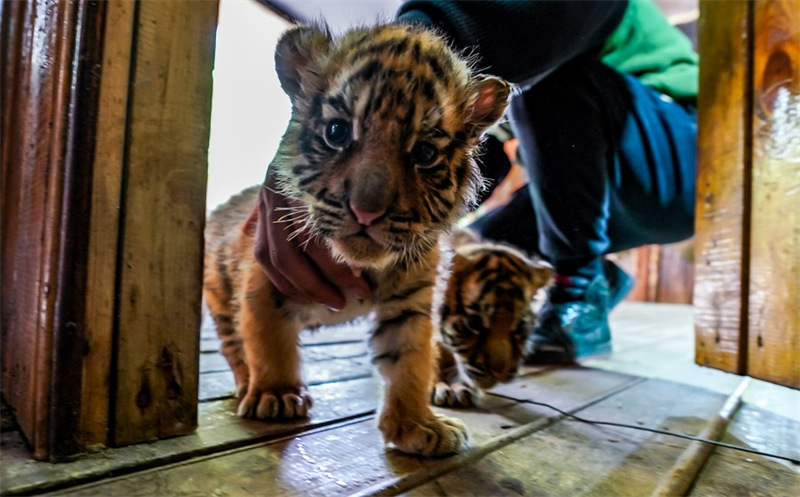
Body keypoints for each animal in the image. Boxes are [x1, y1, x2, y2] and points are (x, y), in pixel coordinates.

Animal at [203, 23, 511, 457]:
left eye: (425, 153)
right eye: (337, 132)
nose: (367, 211)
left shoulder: (411, 303)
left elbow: (411, 362)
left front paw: (419, 425)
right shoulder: (266, 282)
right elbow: (267, 343)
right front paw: (278, 394)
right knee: (235, 346)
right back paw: (251, 386)